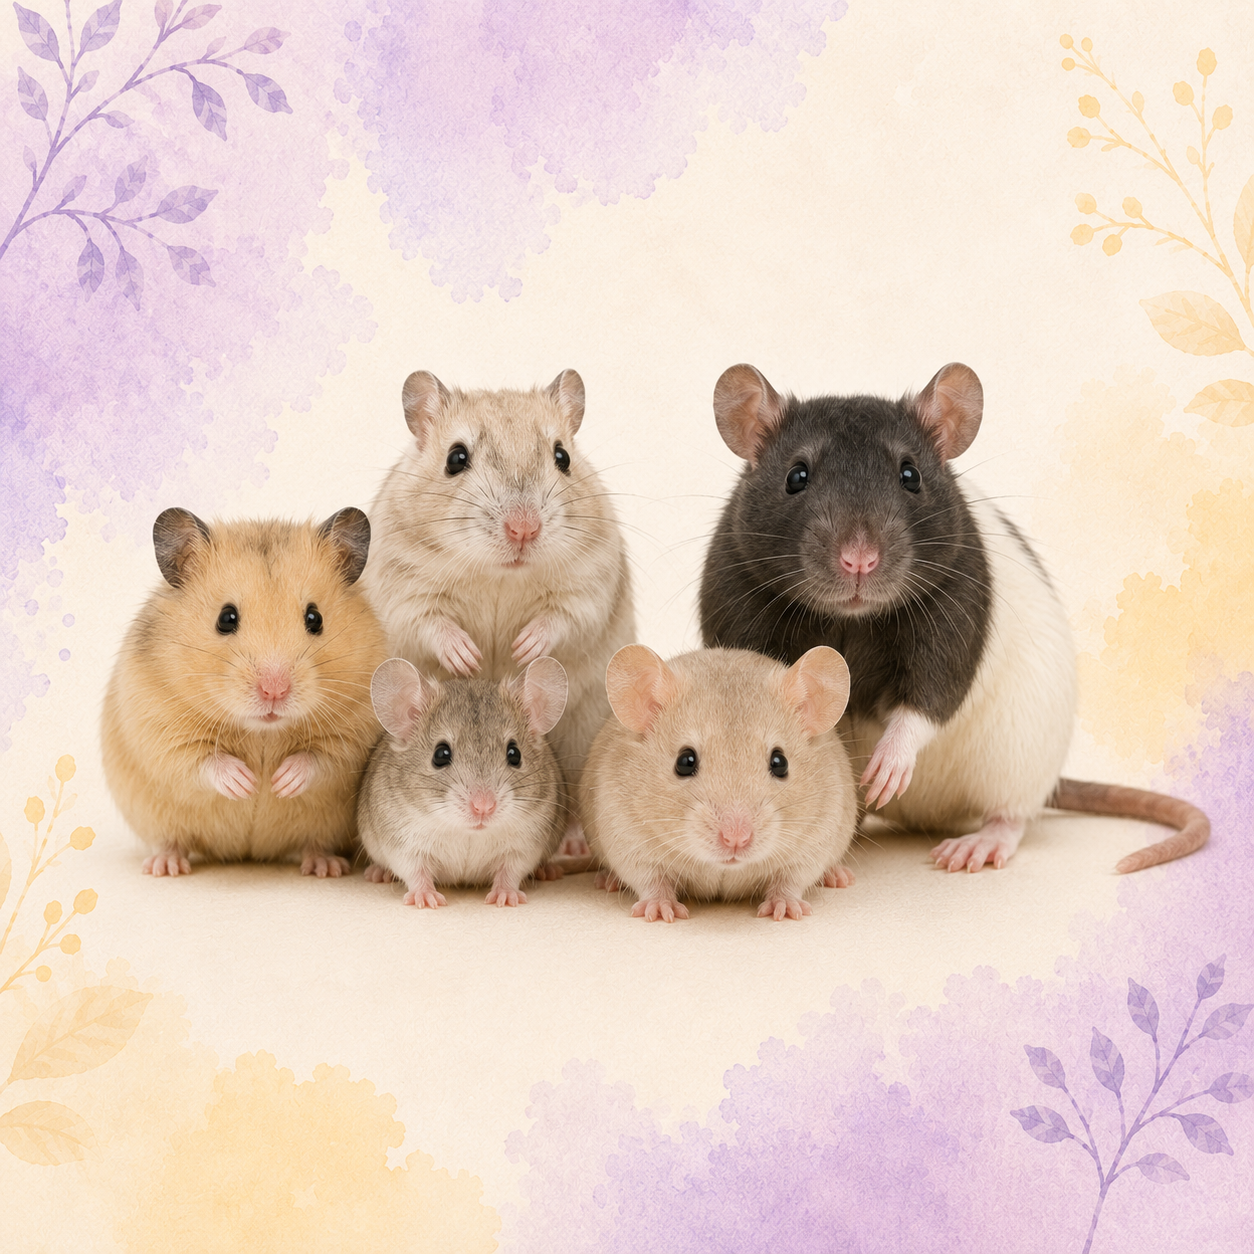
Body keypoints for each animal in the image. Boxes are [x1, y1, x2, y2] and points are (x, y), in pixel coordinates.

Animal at [101, 507, 389, 877]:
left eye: (315, 618)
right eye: (226, 618)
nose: (274, 690)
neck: (263, 732)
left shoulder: (355, 732)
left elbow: (321, 758)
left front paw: (279, 783)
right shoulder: (155, 724)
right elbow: (199, 760)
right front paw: (246, 784)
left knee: (314, 842)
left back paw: (325, 867)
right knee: (171, 839)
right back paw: (164, 866)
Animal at [358, 656, 569, 907]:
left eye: (515, 754)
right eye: (440, 755)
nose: (483, 807)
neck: (467, 832)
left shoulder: (523, 848)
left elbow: (509, 873)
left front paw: (506, 898)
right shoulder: (404, 846)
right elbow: (416, 873)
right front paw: (426, 899)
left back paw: (549, 871)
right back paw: (377, 873)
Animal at [360, 369, 635, 854]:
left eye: (562, 456)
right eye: (455, 458)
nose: (524, 529)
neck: (499, 574)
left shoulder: (592, 582)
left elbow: (561, 617)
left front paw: (523, 649)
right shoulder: (401, 587)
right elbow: (431, 621)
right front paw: (468, 660)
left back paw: (574, 845)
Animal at [581, 645, 858, 922]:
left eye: (780, 762)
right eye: (685, 761)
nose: (736, 839)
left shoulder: (815, 839)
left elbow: (791, 880)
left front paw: (787, 910)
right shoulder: (626, 836)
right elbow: (651, 879)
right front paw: (660, 911)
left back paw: (838, 876)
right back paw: (608, 881)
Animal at [699, 363, 1210, 874]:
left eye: (910, 475)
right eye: (796, 476)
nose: (859, 560)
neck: (854, 619)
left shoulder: (956, 602)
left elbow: (935, 692)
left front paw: (893, 757)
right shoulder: (738, 596)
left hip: (1023, 758)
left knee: (1012, 813)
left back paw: (983, 841)